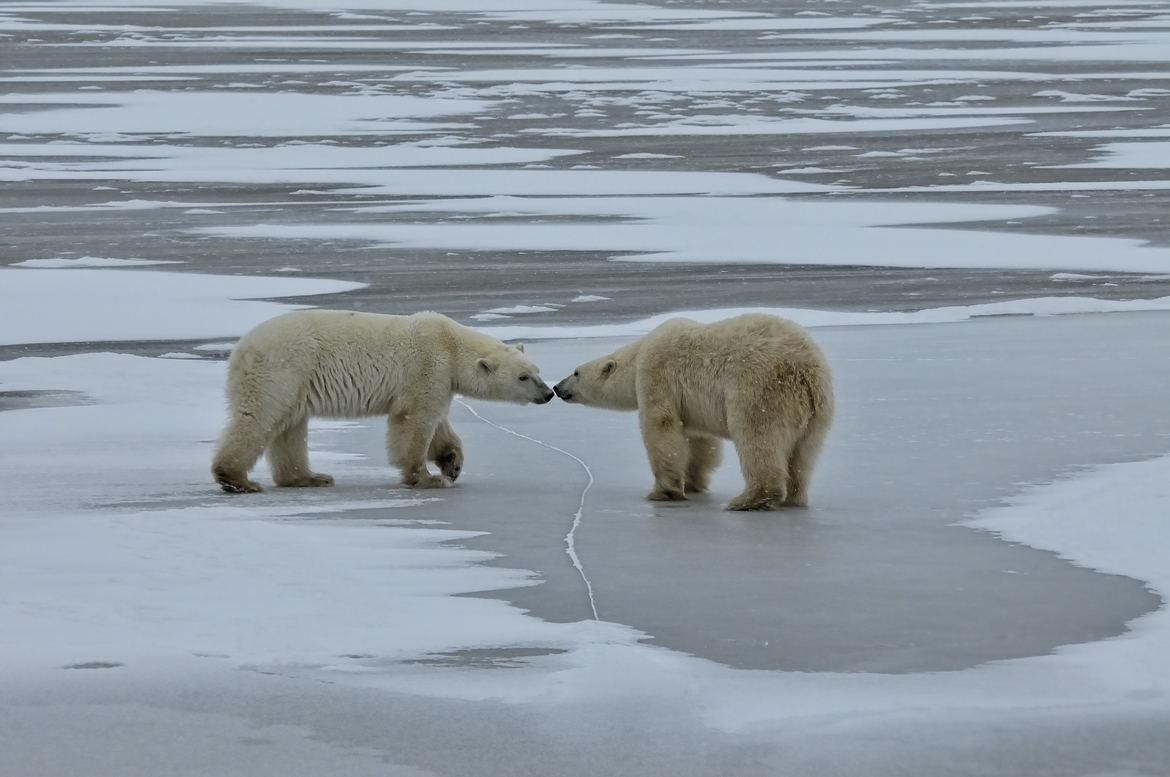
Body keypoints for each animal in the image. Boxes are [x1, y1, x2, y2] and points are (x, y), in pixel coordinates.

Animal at [211, 309, 554, 494]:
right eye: (524, 377)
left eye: (537, 370)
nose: (549, 393)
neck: (450, 344)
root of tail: (240, 348)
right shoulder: (426, 365)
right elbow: (414, 419)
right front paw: (428, 478)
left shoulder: (439, 379)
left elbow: (438, 422)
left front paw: (452, 464)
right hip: (283, 368)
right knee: (260, 416)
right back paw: (237, 479)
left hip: (296, 380)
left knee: (290, 426)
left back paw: (309, 477)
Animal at [553, 313, 833, 511]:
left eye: (576, 373)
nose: (557, 387)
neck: (639, 353)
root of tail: (804, 370)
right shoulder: (693, 405)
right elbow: (700, 441)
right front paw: (693, 482)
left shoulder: (656, 374)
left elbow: (661, 426)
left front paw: (663, 491)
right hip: (818, 408)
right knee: (804, 453)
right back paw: (794, 497)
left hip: (761, 390)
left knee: (757, 438)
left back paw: (746, 500)